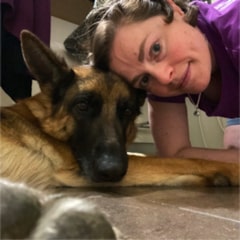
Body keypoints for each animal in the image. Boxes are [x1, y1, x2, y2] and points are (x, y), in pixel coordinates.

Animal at [0, 30, 239, 240]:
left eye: (126, 111)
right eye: (82, 106)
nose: (112, 170)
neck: (41, 120)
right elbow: (185, 159)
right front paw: (231, 169)